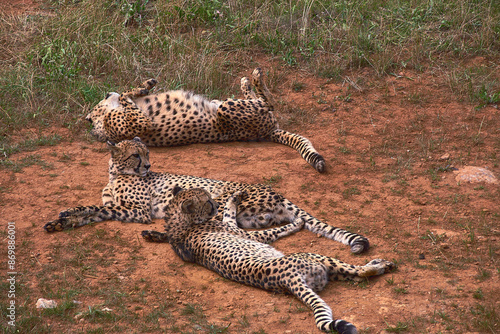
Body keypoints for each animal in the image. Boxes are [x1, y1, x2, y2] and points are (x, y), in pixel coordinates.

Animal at [44, 137, 372, 254]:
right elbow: (90, 209)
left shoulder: (139, 212)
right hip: (251, 217)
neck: (117, 175)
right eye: (137, 155)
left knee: (240, 229)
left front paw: (69, 216)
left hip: (222, 204)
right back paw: (157, 236)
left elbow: (101, 211)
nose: (148, 165)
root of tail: (275, 191)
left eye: (147, 153)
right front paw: (63, 219)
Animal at [85, 68, 328, 172]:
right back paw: (255, 77)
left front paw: (145, 85)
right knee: (268, 101)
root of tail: (268, 132)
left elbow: (127, 94)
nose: (106, 93)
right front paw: (134, 90)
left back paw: (246, 81)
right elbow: (126, 97)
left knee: (258, 99)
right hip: (228, 109)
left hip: (227, 103)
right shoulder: (141, 123)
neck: (102, 123)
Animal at [141, 188, 394, 334]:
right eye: (205, 201)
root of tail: (286, 281)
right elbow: (270, 228)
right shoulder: (245, 232)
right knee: (359, 273)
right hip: (316, 257)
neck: (180, 224)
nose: (213, 204)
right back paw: (381, 265)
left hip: (324, 272)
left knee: (353, 277)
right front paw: (295, 223)